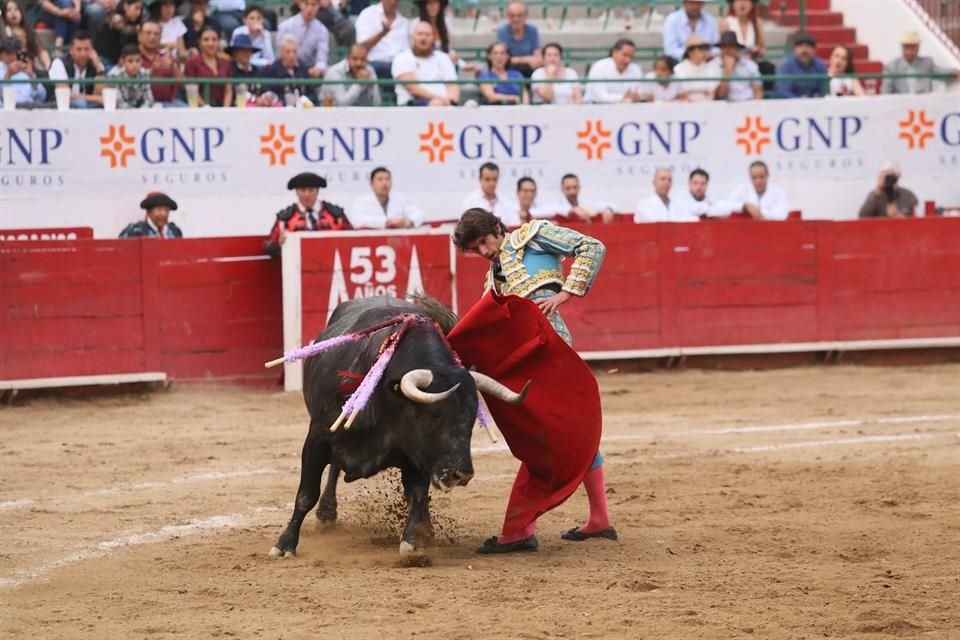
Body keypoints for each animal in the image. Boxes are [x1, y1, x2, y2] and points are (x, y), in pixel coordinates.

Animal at [270, 296, 524, 556]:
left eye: (473, 418)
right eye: (434, 415)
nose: (462, 474)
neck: (387, 395)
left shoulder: (418, 453)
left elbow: (418, 494)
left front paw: (413, 539)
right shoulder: (318, 437)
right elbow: (306, 494)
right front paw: (285, 544)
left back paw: (426, 530)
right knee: (333, 470)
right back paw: (327, 512)